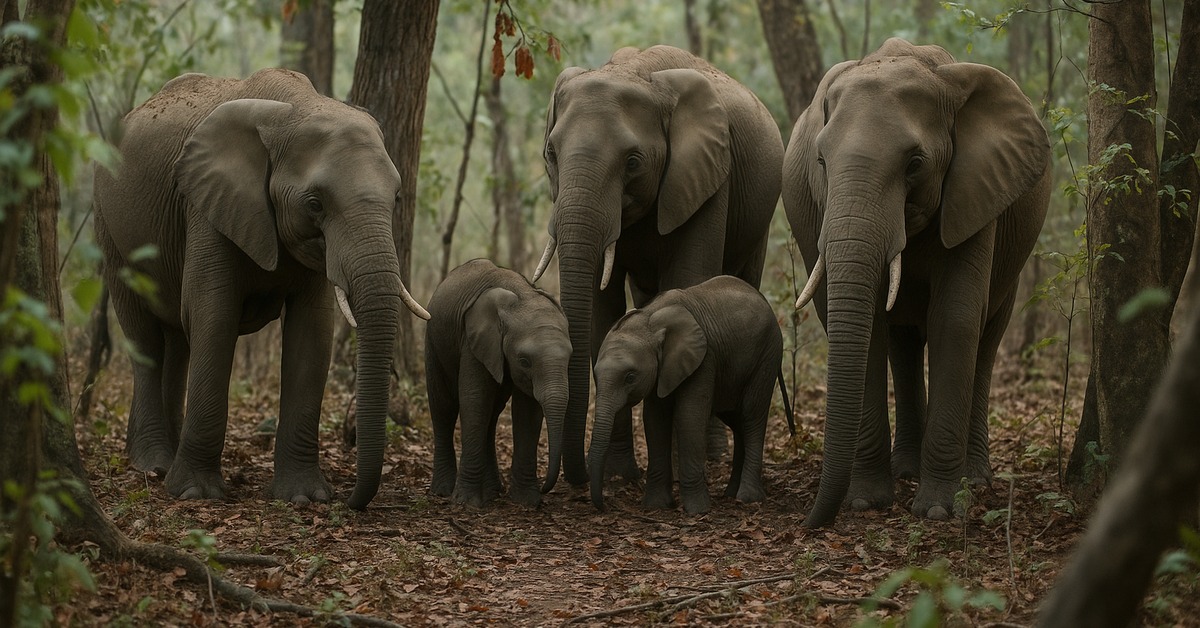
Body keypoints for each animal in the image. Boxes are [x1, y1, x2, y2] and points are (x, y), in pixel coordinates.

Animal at [93, 68, 430, 509]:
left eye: (397, 198)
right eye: (315, 204)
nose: (350, 501)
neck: (294, 108)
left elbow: (312, 332)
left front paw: (305, 498)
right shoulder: (207, 208)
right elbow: (214, 317)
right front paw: (195, 493)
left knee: (178, 341)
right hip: (109, 226)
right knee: (145, 337)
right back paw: (153, 464)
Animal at [424, 259, 571, 508]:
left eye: (570, 357)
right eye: (524, 361)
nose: (546, 489)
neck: (523, 296)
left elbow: (527, 411)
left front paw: (527, 501)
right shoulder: (473, 341)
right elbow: (475, 400)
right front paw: (467, 504)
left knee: (492, 415)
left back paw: (493, 490)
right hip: (433, 342)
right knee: (444, 408)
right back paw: (443, 491)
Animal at [534, 45, 784, 488]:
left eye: (633, 162)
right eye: (550, 153)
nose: (572, 480)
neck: (636, 72)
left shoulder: (709, 178)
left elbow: (686, 279)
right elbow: (603, 311)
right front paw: (619, 476)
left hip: (759, 220)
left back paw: (715, 454)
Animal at [588, 276, 791, 514]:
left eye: (630, 377)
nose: (605, 506)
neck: (649, 319)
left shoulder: (704, 359)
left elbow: (689, 417)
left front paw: (698, 510)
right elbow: (655, 420)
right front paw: (657, 506)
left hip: (767, 354)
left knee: (752, 417)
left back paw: (748, 498)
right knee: (737, 420)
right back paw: (731, 494)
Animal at [782, 38, 1050, 526]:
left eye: (915, 164)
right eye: (821, 161)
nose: (808, 522)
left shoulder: (975, 191)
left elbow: (956, 319)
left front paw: (939, 510)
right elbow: (863, 324)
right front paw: (866, 501)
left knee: (987, 337)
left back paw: (974, 479)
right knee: (903, 344)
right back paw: (906, 469)